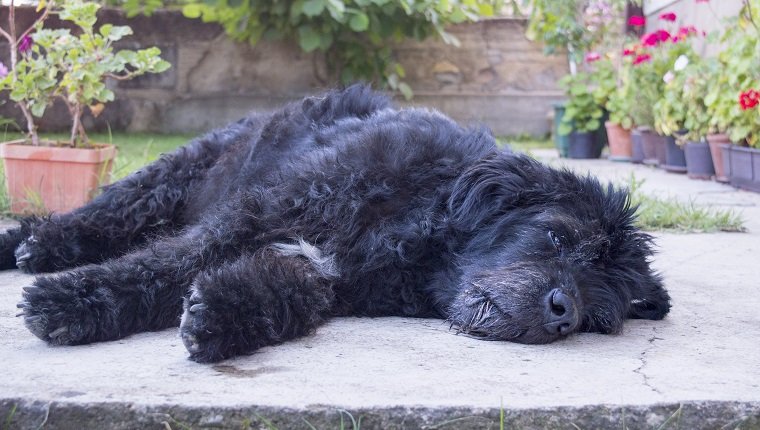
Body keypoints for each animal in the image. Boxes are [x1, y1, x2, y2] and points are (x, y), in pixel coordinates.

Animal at [1, 85, 672, 362]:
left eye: (599, 314)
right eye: (557, 235)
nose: (563, 312)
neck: (419, 229)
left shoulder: (324, 271)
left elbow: (282, 294)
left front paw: (220, 318)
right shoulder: (259, 211)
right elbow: (165, 262)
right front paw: (70, 303)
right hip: (177, 173)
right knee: (108, 214)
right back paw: (37, 245)